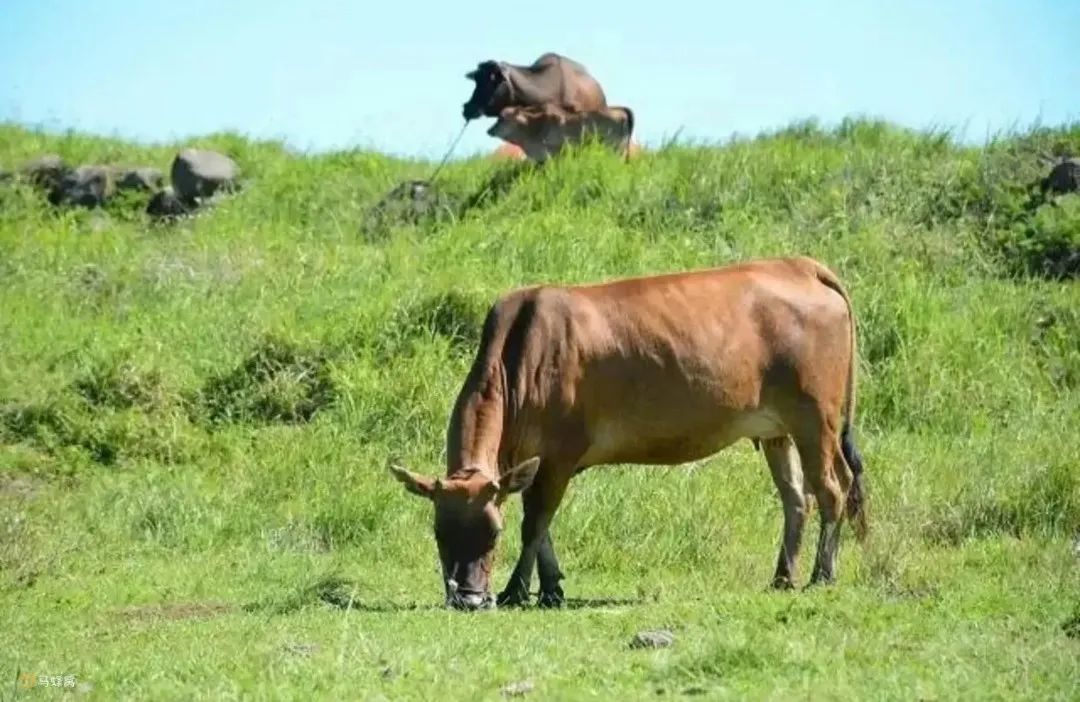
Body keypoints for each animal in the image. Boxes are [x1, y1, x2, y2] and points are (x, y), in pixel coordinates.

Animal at [388, 252, 868, 604]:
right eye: (439, 532)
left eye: (493, 532)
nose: (468, 599)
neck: (520, 356)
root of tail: (800, 265)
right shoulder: (534, 463)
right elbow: (542, 527)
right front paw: (552, 588)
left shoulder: (560, 454)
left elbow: (535, 523)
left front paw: (516, 591)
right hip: (776, 431)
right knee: (796, 499)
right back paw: (783, 577)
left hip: (816, 419)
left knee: (832, 489)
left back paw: (821, 575)